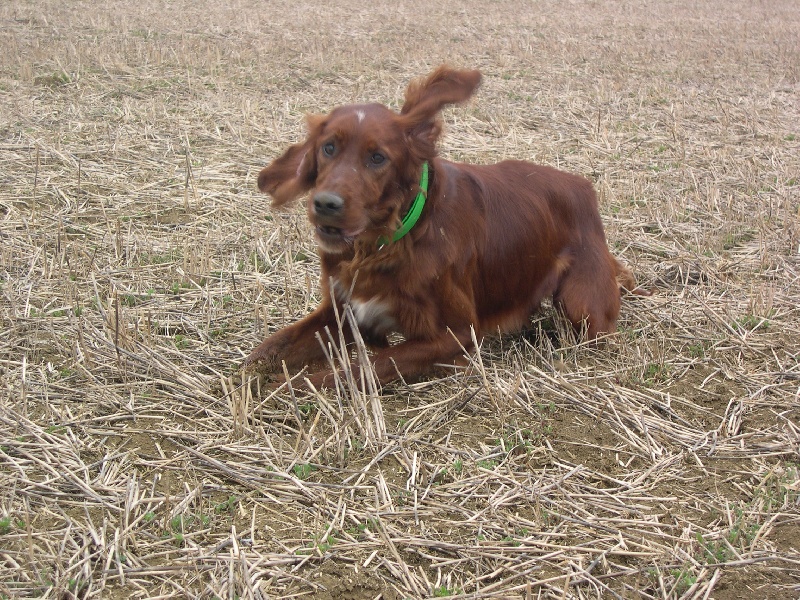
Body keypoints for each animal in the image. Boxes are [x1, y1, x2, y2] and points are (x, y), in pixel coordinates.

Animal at [244, 65, 644, 390]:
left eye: (377, 157)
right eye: (328, 148)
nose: (326, 205)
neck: (390, 241)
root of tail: (584, 187)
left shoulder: (457, 333)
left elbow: (369, 366)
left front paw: (293, 386)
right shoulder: (342, 311)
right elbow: (271, 347)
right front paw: (254, 373)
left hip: (583, 308)